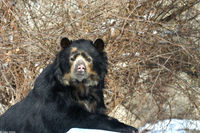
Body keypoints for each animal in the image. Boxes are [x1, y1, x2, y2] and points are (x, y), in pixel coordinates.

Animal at [0, 37, 138, 133]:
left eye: (89, 59)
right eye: (72, 58)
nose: (80, 68)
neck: (79, 87)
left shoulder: (96, 98)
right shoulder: (54, 98)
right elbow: (70, 119)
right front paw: (130, 128)